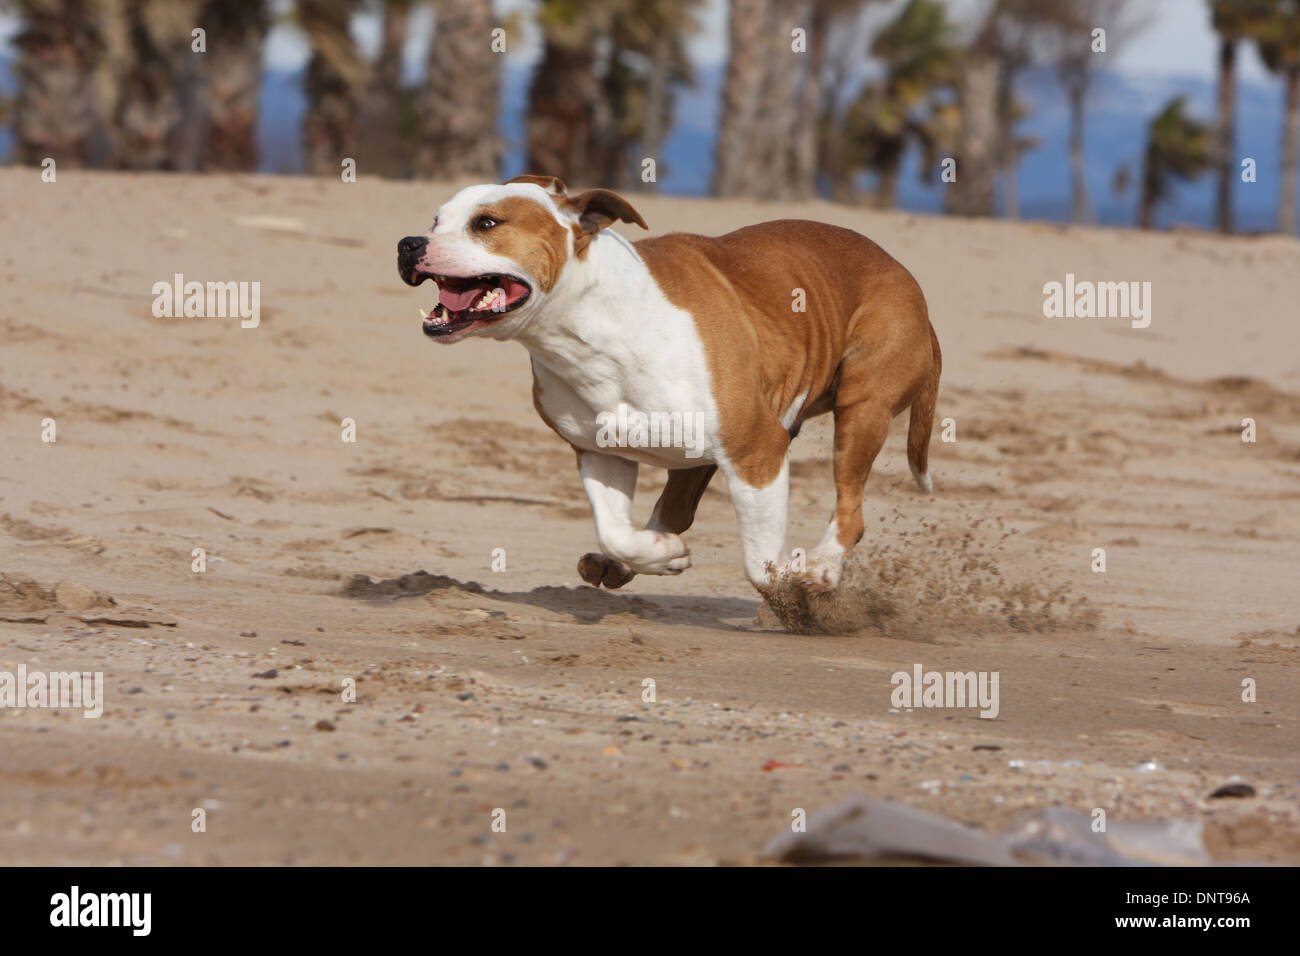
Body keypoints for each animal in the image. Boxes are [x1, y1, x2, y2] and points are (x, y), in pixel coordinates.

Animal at [390, 178, 941, 598]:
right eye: (436, 220)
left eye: (486, 224)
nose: (409, 243)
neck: (586, 329)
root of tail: (911, 286)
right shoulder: (600, 452)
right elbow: (615, 531)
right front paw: (660, 555)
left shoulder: (757, 449)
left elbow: (761, 561)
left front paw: (791, 588)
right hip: (697, 455)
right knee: (674, 508)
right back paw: (634, 558)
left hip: (862, 408)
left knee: (850, 507)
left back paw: (823, 566)